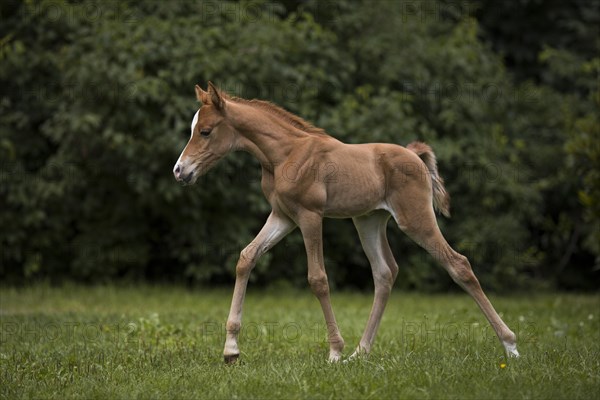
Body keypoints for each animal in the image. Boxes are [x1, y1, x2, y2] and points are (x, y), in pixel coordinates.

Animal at [175, 83, 520, 364]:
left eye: (205, 131)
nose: (180, 171)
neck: (285, 154)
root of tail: (414, 155)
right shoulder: (283, 216)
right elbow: (247, 257)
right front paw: (231, 350)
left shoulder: (310, 216)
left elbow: (318, 279)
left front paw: (334, 351)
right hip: (368, 221)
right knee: (385, 273)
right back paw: (360, 353)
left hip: (415, 219)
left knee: (458, 264)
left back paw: (511, 346)